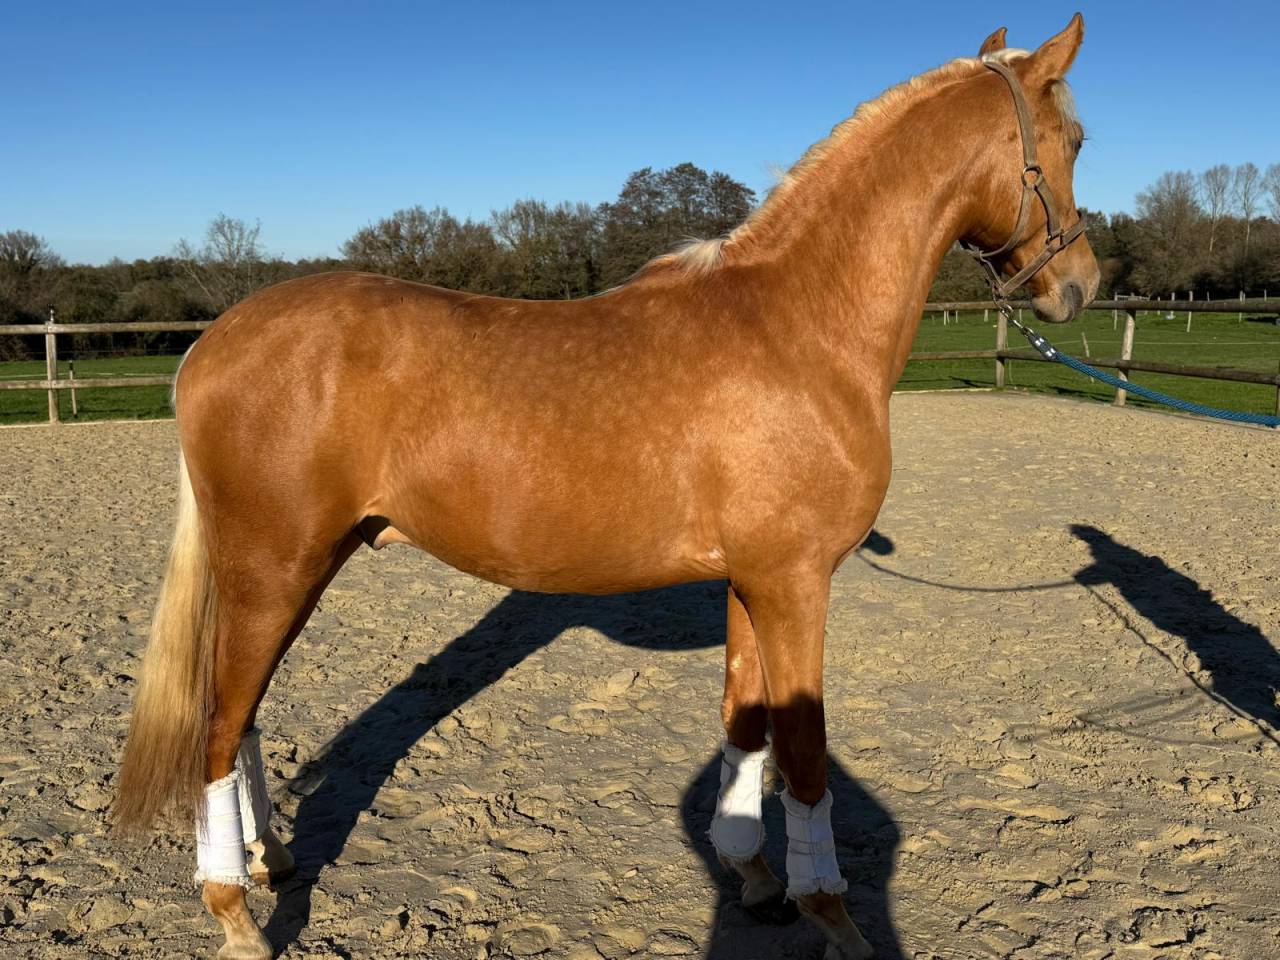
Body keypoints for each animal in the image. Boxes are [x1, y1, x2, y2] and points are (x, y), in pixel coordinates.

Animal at [116, 16, 1099, 959]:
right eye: (1076, 139)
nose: (1080, 285)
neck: (797, 325)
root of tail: (210, 344)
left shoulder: (752, 581)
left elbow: (746, 726)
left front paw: (753, 877)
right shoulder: (796, 583)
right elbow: (807, 754)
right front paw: (833, 915)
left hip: (290, 569)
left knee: (243, 715)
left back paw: (269, 859)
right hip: (275, 567)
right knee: (218, 724)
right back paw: (234, 913)